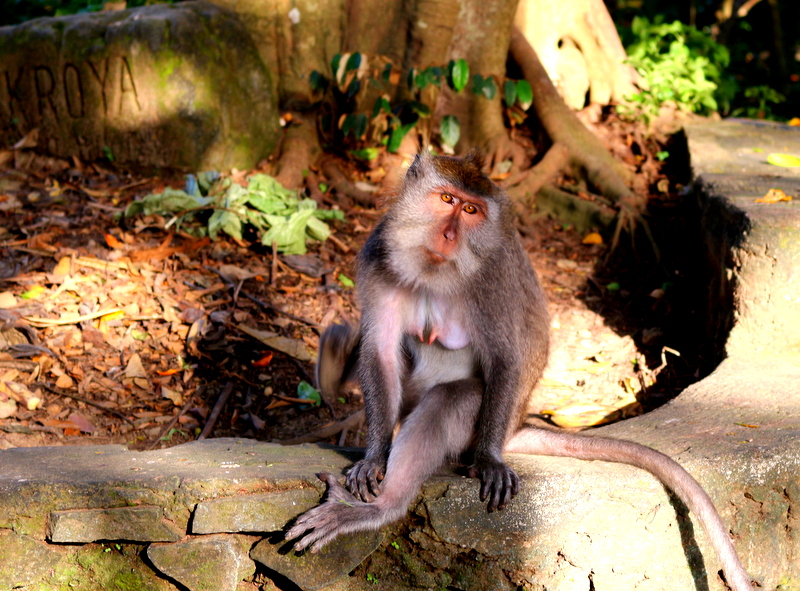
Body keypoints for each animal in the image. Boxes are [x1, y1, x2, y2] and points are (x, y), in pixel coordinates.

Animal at [286, 153, 752, 591]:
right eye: (447, 200)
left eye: (471, 211)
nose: (450, 235)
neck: (434, 273)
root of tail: (514, 427)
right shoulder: (377, 257)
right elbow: (380, 352)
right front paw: (374, 455)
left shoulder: (492, 279)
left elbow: (506, 358)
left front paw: (489, 462)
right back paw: (335, 365)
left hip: (477, 428)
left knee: (452, 400)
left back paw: (382, 509)